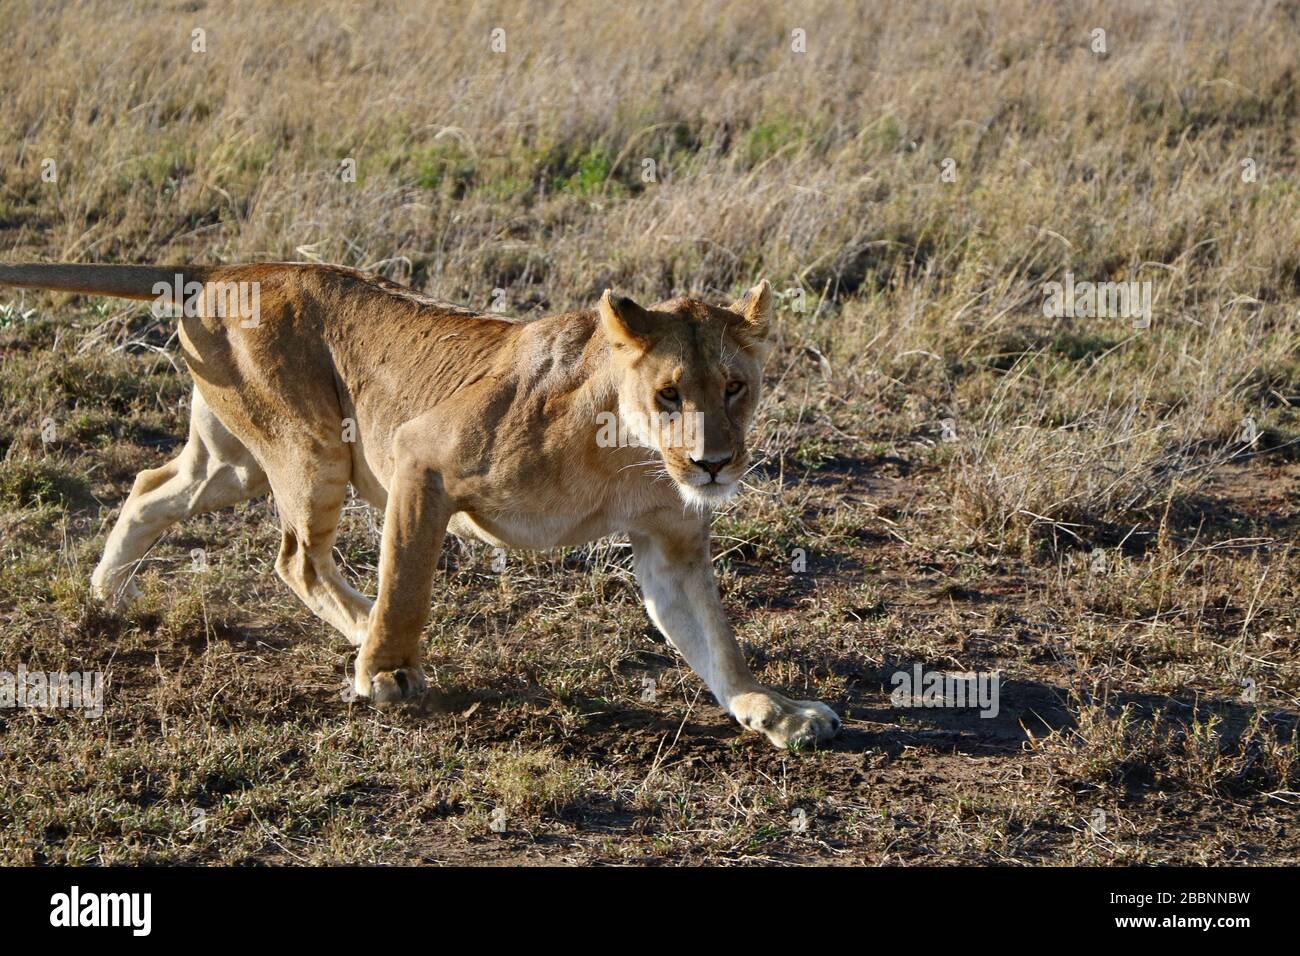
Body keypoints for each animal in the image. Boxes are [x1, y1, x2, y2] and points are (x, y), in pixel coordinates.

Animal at [0, 262, 841, 749]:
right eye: (669, 394)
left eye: (734, 387)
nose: (713, 463)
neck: (623, 451)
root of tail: (230, 265)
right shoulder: (421, 454)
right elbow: (406, 581)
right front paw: (386, 672)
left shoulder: (670, 544)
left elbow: (715, 640)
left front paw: (773, 709)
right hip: (313, 448)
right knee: (297, 559)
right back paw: (363, 639)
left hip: (233, 462)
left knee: (151, 487)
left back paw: (104, 596)